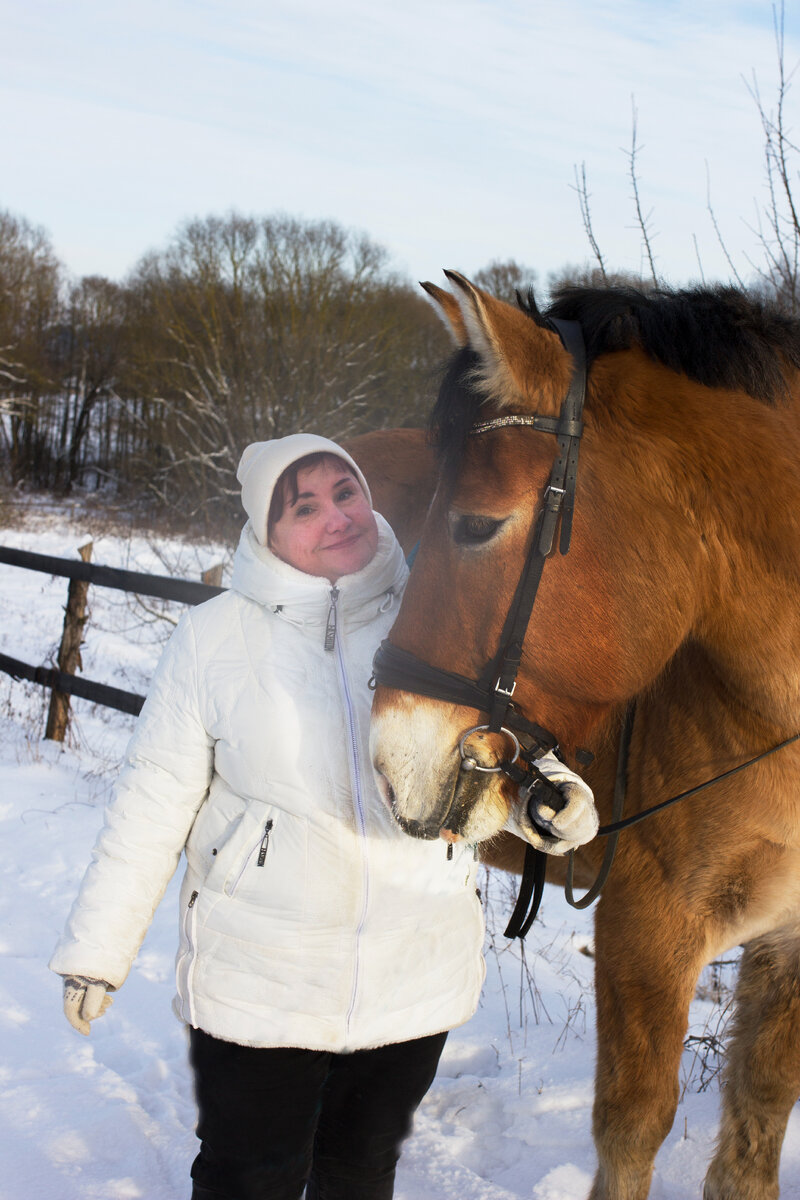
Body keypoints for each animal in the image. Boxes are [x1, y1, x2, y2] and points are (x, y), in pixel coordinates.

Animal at [357, 276, 800, 1200]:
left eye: (476, 524)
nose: (393, 760)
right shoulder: (648, 932)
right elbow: (632, 1130)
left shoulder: (790, 948)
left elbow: (756, 1133)